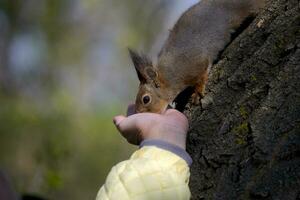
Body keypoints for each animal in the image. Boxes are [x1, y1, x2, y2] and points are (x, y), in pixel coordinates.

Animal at [129, 0, 264, 113]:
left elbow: (202, 76)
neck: (170, 75)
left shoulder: (196, 65)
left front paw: (197, 92)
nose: (138, 113)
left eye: (146, 99)